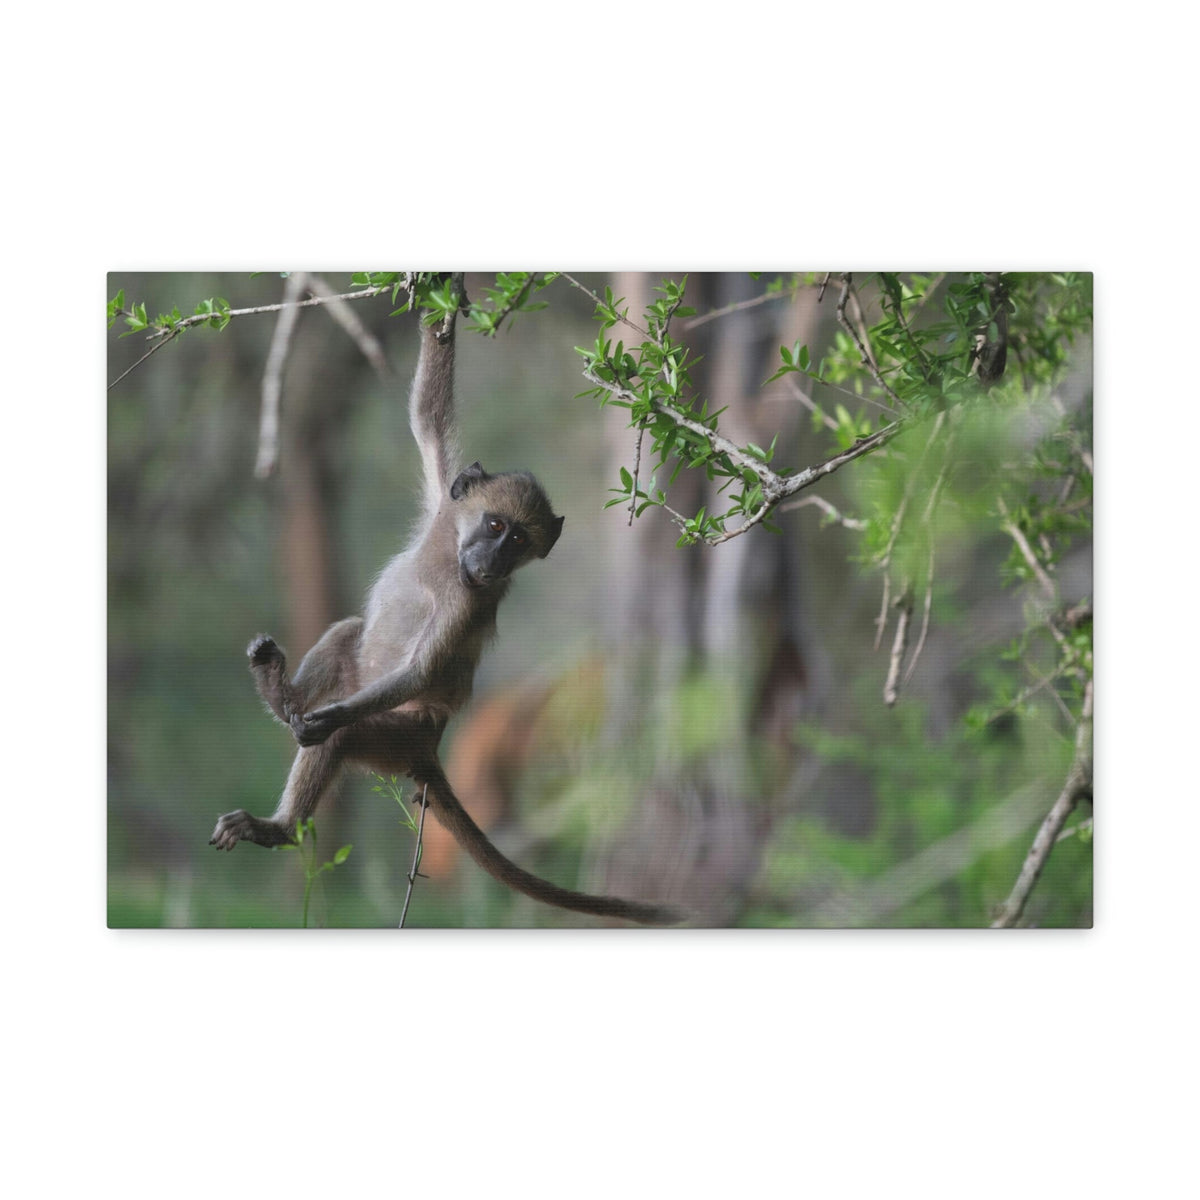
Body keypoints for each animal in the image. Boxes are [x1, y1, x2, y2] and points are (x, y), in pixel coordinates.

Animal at [211, 291, 685, 927]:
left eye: (519, 542)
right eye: (496, 526)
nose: (492, 561)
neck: (449, 557)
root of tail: (433, 749)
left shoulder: (467, 602)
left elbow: (422, 670)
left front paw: (327, 720)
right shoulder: (444, 500)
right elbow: (427, 416)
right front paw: (443, 292)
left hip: (400, 737)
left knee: (344, 733)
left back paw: (281, 823)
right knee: (347, 632)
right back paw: (278, 695)